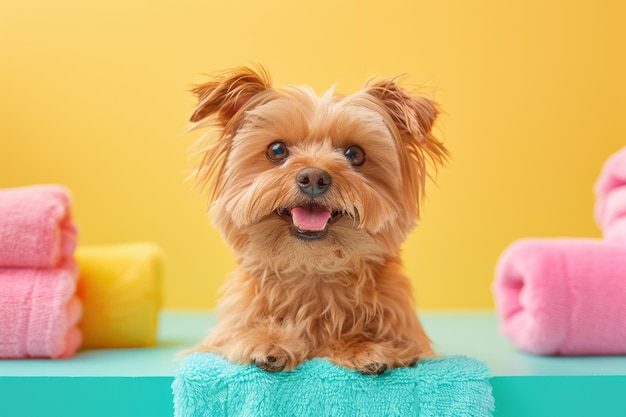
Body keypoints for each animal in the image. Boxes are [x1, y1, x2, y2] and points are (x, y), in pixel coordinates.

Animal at [185, 66, 444, 374]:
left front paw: (366, 346)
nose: (314, 177)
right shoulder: (229, 329)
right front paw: (267, 340)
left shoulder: (404, 329)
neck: (313, 268)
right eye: (276, 150)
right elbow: (241, 333)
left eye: (355, 154)